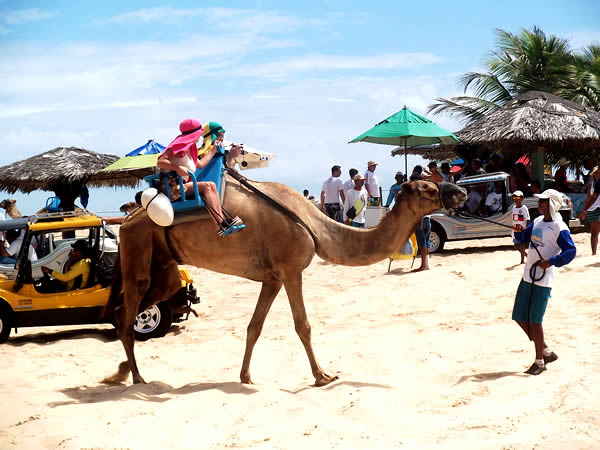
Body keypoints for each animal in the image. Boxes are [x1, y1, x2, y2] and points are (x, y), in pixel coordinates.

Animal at [104, 176, 464, 386]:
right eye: (430, 188)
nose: (460, 192)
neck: (316, 227)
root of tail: (127, 218)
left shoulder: (273, 278)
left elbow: (255, 326)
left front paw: (246, 376)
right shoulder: (291, 269)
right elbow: (303, 325)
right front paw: (323, 376)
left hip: (163, 262)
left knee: (132, 307)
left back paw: (120, 372)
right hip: (138, 247)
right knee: (130, 308)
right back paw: (136, 377)